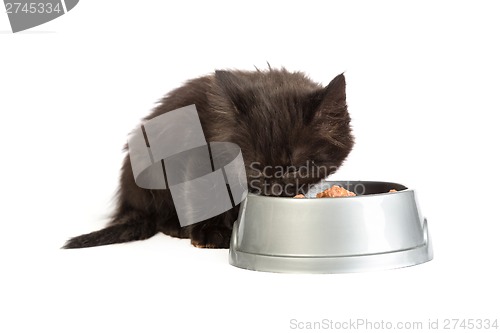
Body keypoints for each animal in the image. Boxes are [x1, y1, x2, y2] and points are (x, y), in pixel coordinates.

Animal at [62, 67, 354, 248]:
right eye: (254, 167)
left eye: (297, 168)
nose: (273, 190)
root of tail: (129, 203)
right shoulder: (200, 155)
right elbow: (204, 191)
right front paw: (210, 232)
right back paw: (177, 226)